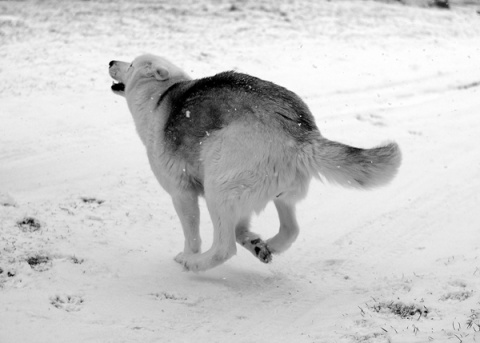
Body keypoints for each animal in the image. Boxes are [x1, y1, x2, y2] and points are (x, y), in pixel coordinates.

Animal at [109, 53, 402, 272]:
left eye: (131, 64)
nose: (111, 61)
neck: (159, 97)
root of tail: (301, 134)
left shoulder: (182, 194)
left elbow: (193, 236)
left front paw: (187, 255)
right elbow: (241, 229)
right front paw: (254, 242)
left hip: (218, 186)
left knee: (224, 248)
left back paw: (195, 264)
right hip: (276, 194)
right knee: (290, 230)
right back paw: (267, 246)